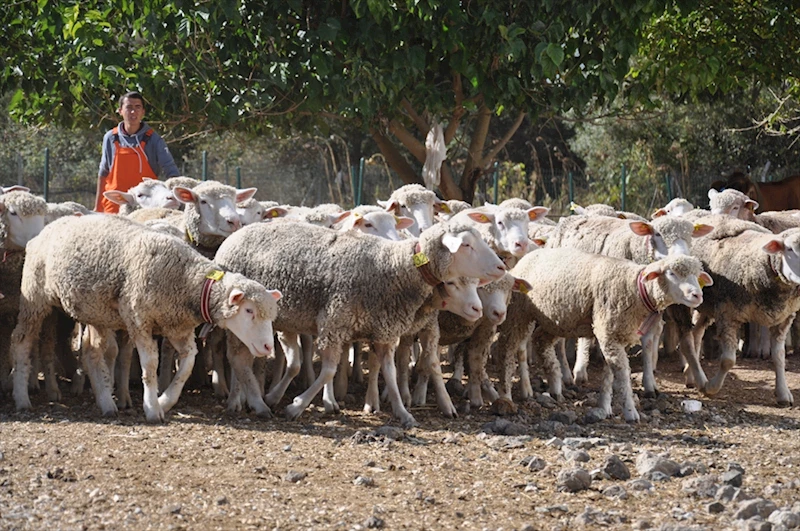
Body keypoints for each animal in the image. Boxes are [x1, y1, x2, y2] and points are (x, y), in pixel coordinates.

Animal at [10, 214, 282, 422]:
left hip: (96, 312)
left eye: (271, 315)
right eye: (249, 311)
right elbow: (150, 364)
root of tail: (45, 229)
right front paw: (152, 408)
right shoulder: (139, 319)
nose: (268, 346)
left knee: (91, 352)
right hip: (34, 296)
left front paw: (165, 400)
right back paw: (22, 397)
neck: (188, 283)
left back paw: (106, 402)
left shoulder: (178, 327)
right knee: (22, 340)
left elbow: (187, 364)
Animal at [212, 218, 506, 426]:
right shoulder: (334, 322)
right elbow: (329, 371)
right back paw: (244, 400)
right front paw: (296, 406)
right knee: (237, 358)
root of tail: (235, 235)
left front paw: (403, 413)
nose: (502, 267)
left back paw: (262, 398)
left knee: (264, 360)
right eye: (466, 245)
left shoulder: (384, 332)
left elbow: (389, 373)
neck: (396, 268)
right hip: (241, 319)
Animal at [510, 251, 708, 422]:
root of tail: (530, 254)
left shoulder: (616, 335)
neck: (634, 289)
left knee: (541, 343)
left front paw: (605, 407)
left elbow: (608, 375)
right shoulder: (609, 333)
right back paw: (527, 389)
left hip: (555, 321)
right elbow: (622, 375)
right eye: (671, 273)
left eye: (697, 275)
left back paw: (555, 387)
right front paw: (630, 412)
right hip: (522, 314)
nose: (698, 295)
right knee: (521, 350)